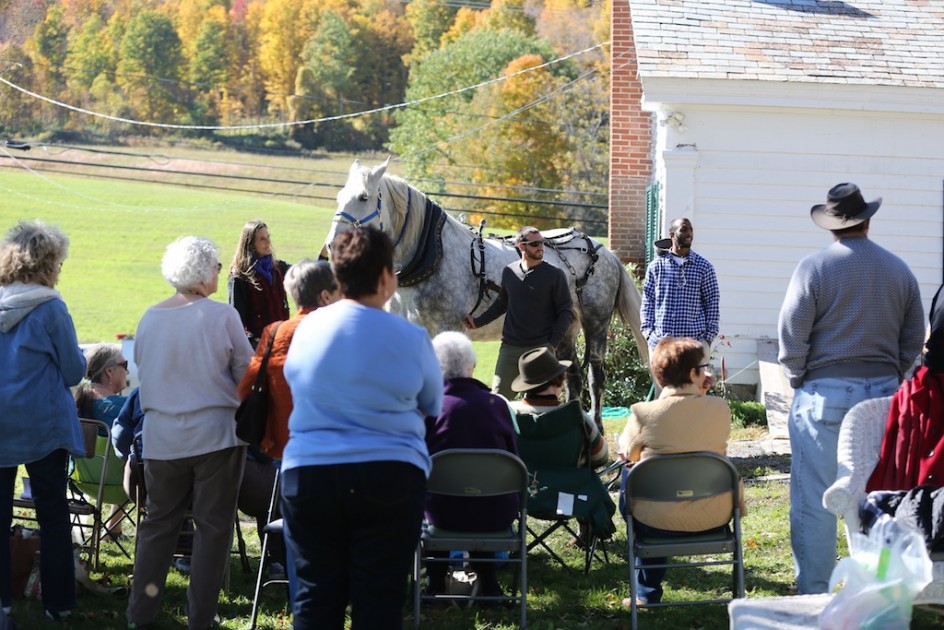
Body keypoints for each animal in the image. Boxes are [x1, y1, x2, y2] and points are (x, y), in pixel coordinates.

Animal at [326, 159, 648, 430]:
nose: (333, 245)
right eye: (340, 196)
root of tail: (603, 250)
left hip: (596, 323)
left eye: (364, 198)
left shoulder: (447, 328)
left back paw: (597, 426)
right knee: (572, 378)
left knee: (596, 378)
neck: (432, 256)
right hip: (567, 328)